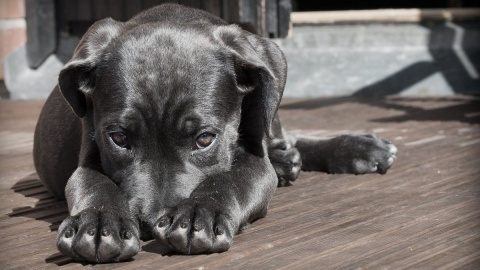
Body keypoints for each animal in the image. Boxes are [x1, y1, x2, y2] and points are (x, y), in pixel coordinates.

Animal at [33, 3, 398, 262]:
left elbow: (230, 178)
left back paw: (356, 149)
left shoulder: (255, 161)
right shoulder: (88, 155)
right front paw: (98, 222)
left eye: (205, 139)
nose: (151, 223)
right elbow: (94, 184)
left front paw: (200, 213)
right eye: (119, 139)